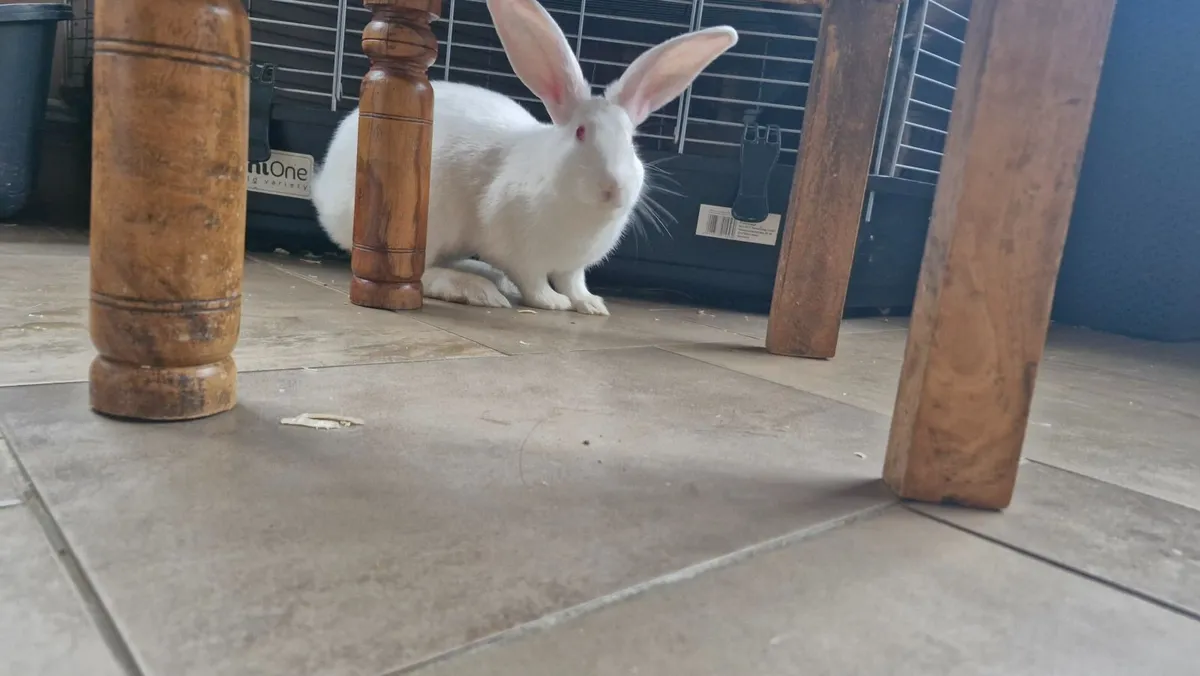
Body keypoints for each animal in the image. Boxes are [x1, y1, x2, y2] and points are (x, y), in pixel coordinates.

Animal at [311, 0, 738, 316]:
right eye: (581, 133)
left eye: (631, 142)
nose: (614, 189)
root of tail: (324, 193)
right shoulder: (521, 253)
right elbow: (534, 283)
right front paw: (554, 303)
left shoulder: (574, 265)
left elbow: (575, 282)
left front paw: (591, 305)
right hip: (426, 228)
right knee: (424, 272)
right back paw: (480, 290)